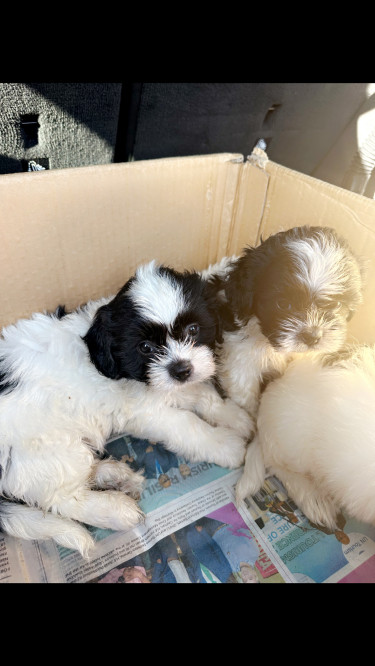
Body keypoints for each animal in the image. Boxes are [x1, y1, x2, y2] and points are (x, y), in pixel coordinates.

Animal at [0, 260, 253, 556]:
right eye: (145, 347)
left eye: (193, 330)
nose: (181, 370)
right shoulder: (149, 412)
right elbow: (190, 426)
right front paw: (227, 446)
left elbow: (204, 395)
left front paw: (236, 417)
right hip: (49, 450)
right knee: (62, 499)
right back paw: (114, 509)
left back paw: (111, 474)